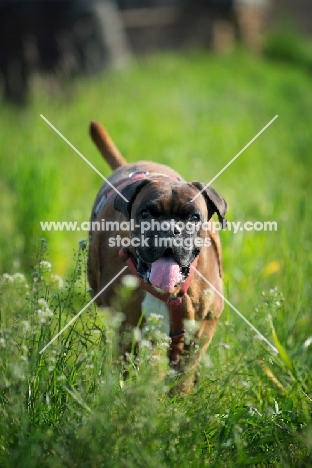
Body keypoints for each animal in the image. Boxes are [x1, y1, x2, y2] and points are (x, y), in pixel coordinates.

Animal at [86, 121, 228, 392]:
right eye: (146, 213)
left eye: (194, 217)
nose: (169, 229)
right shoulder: (127, 331)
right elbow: (127, 368)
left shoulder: (202, 328)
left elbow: (185, 370)